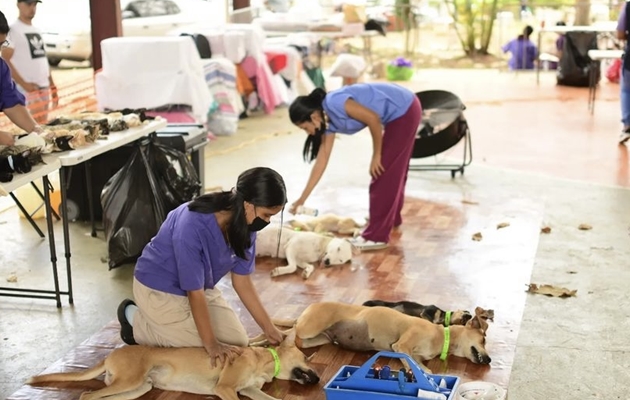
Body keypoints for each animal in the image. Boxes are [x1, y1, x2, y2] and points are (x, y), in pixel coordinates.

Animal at [252, 302, 494, 374]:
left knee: (288, 336)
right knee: (287, 332)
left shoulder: (406, 351)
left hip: (320, 338)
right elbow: (419, 365)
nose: (490, 359)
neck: (441, 335)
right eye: (483, 340)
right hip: (309, 328)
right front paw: (424, 373)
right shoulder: (402, 345)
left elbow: (412, 362)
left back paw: (261, 342)